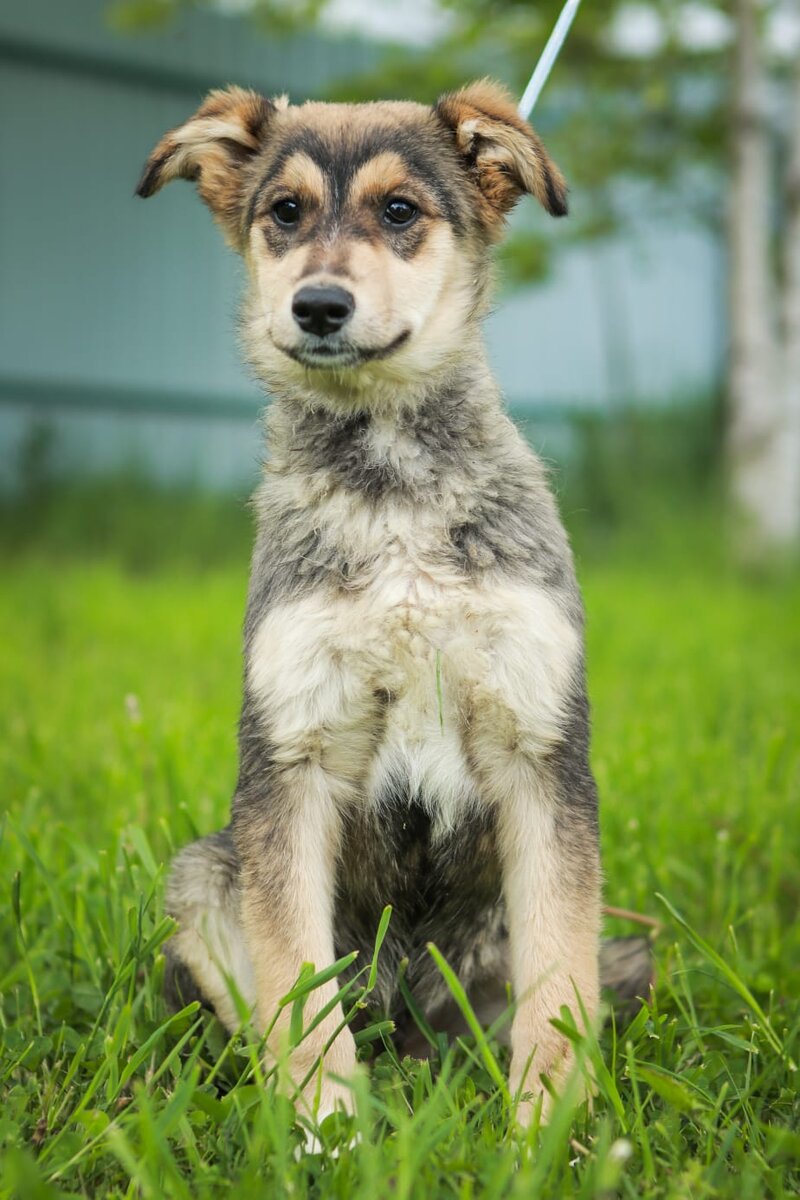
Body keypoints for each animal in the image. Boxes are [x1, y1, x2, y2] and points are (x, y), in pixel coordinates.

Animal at [137, 79, 652, 1128]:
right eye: (285, 211)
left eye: (402, 211)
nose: (319, 306)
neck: (391, 491)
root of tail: (412, 1026)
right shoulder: (291, 757)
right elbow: (297, 988)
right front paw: (326, 1132)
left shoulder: (542, 753)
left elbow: (560, 985)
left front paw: (546, 1132)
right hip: (203, 876)